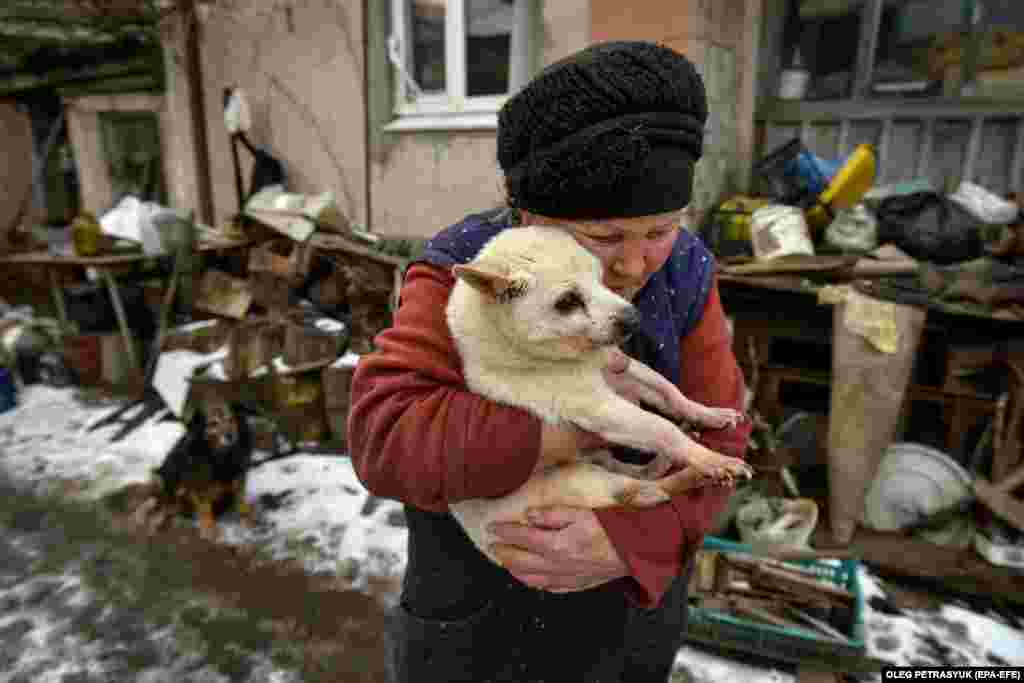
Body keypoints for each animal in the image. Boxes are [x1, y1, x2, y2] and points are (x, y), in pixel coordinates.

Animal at [448, 227, 753, 565]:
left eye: (599, 278)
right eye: (567, 302)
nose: (634, 319)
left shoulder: (622, 368)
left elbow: (669, 392)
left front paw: (708, 414)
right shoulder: (602, 407)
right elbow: (662, 428)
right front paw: (712, 460)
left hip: (600, 464)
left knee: (638, 474)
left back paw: (666, 463)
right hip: (580, 481)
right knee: (641, 494)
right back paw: (689, 477)